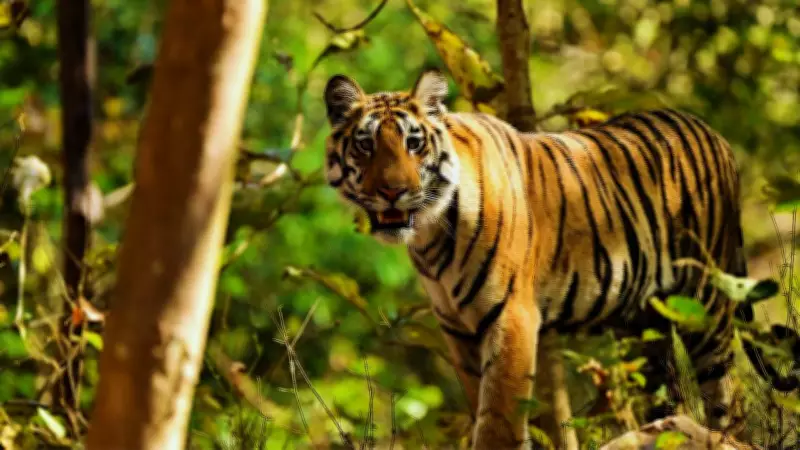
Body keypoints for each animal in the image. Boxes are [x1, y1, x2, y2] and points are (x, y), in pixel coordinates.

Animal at [321, 68, 793, 448]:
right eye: (365, 145)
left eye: (414, 144)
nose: (392, 191)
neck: (431, 234)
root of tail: (714, 134)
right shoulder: (457, 329)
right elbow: (480, 406)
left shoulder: (511, 316)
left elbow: (498, 419)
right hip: (644, 324)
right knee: (666, 396)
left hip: (705, 304)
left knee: (727, 395)